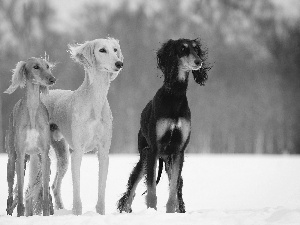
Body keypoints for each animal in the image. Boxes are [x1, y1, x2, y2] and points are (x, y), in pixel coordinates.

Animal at [41, 37, 123, 214]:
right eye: (102, 50)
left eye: (115, 49)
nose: (119, 63)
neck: (95, 101)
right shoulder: (77, 152)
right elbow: (76, 190)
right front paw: (77, 213)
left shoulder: (103, 152)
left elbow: (101, 189)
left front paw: (100, 213)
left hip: (62, 154)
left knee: (55, 186)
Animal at [117, 38, 209, 213]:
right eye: (183, 49)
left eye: (196, 49)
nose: (198, 62)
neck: (175, 95)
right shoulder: (153, 149)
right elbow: (151, 189)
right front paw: (152, 211)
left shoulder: (179, 151)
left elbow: (173, 189)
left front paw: (170, 211)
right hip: (144, 156)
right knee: (131, 190)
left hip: (168, 160)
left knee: (178, 188)